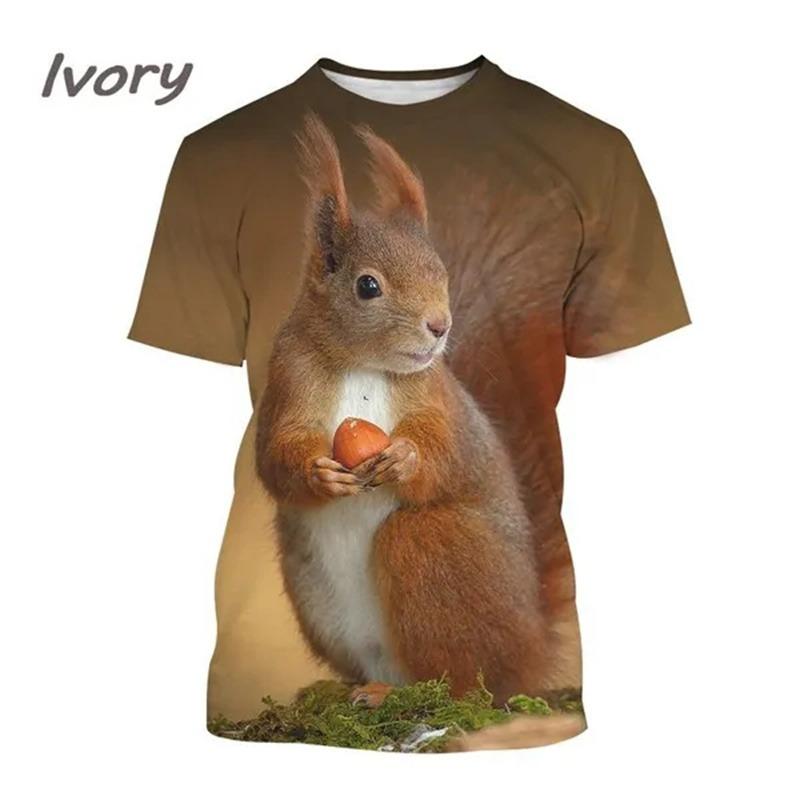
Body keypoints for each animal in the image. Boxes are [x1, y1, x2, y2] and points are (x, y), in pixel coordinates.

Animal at [255, 114, 569, 709]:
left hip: (434, 548)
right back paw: (358, 689)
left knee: (461, 679)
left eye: (440, 272)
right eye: (367, 285)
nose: (440, 326)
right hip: (312, 591)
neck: (362, 365)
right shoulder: (287, 380)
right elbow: (274, 457)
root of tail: (531, 648)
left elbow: (442, 449)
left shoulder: (435, 396)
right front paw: (318, 472)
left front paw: (405, 458)